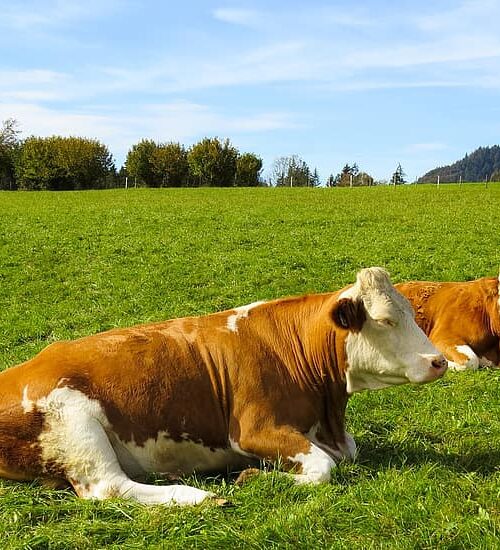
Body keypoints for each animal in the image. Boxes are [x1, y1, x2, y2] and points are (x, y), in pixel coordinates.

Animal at [0, 270, 446, 506]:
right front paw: (254, 477)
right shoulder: (253, 429)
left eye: (412, 313)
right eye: (386, 320)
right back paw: (197, 496)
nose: (439, 360)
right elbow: (323, 467)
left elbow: (346, 453)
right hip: (78, 427)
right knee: (109, 487)